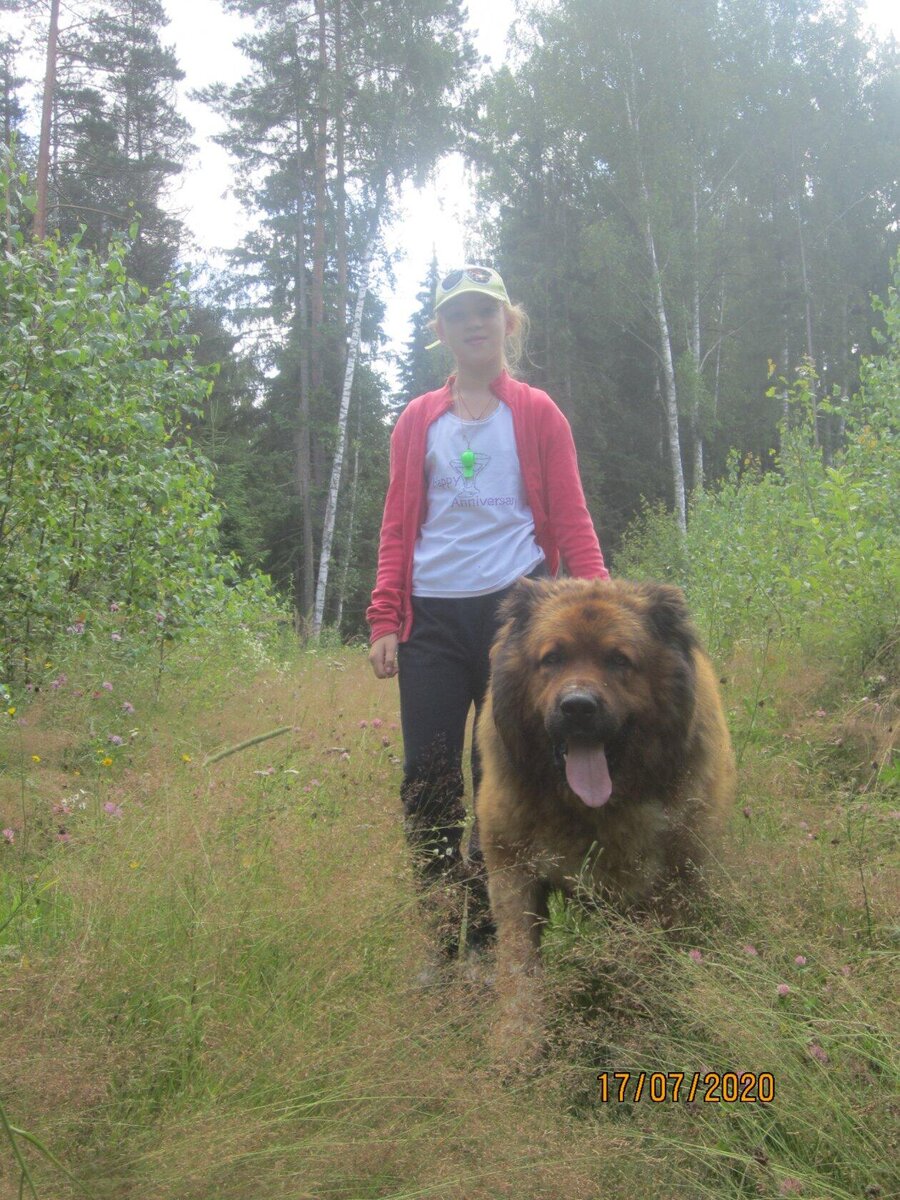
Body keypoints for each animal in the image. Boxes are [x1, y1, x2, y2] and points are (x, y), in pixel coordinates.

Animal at [475, 576, 734, 1046]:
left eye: (619, 660)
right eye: (552, 658)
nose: (578, 706)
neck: (585, 810)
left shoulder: (661, 887)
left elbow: (646, 967)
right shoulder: (512, 869)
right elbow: (519, 963)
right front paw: (517, 1040)